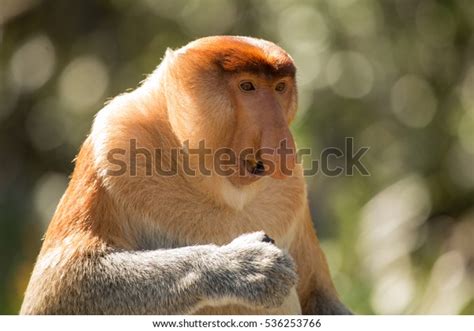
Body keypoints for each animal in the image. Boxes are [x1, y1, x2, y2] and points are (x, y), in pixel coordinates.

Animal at [20, 36, 350, 316]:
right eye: (248, 86)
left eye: (280, 88)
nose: (282, 144)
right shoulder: (115, 140)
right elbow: (59, 286)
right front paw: (244, 265)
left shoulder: (293, 192)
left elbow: (319, 296)